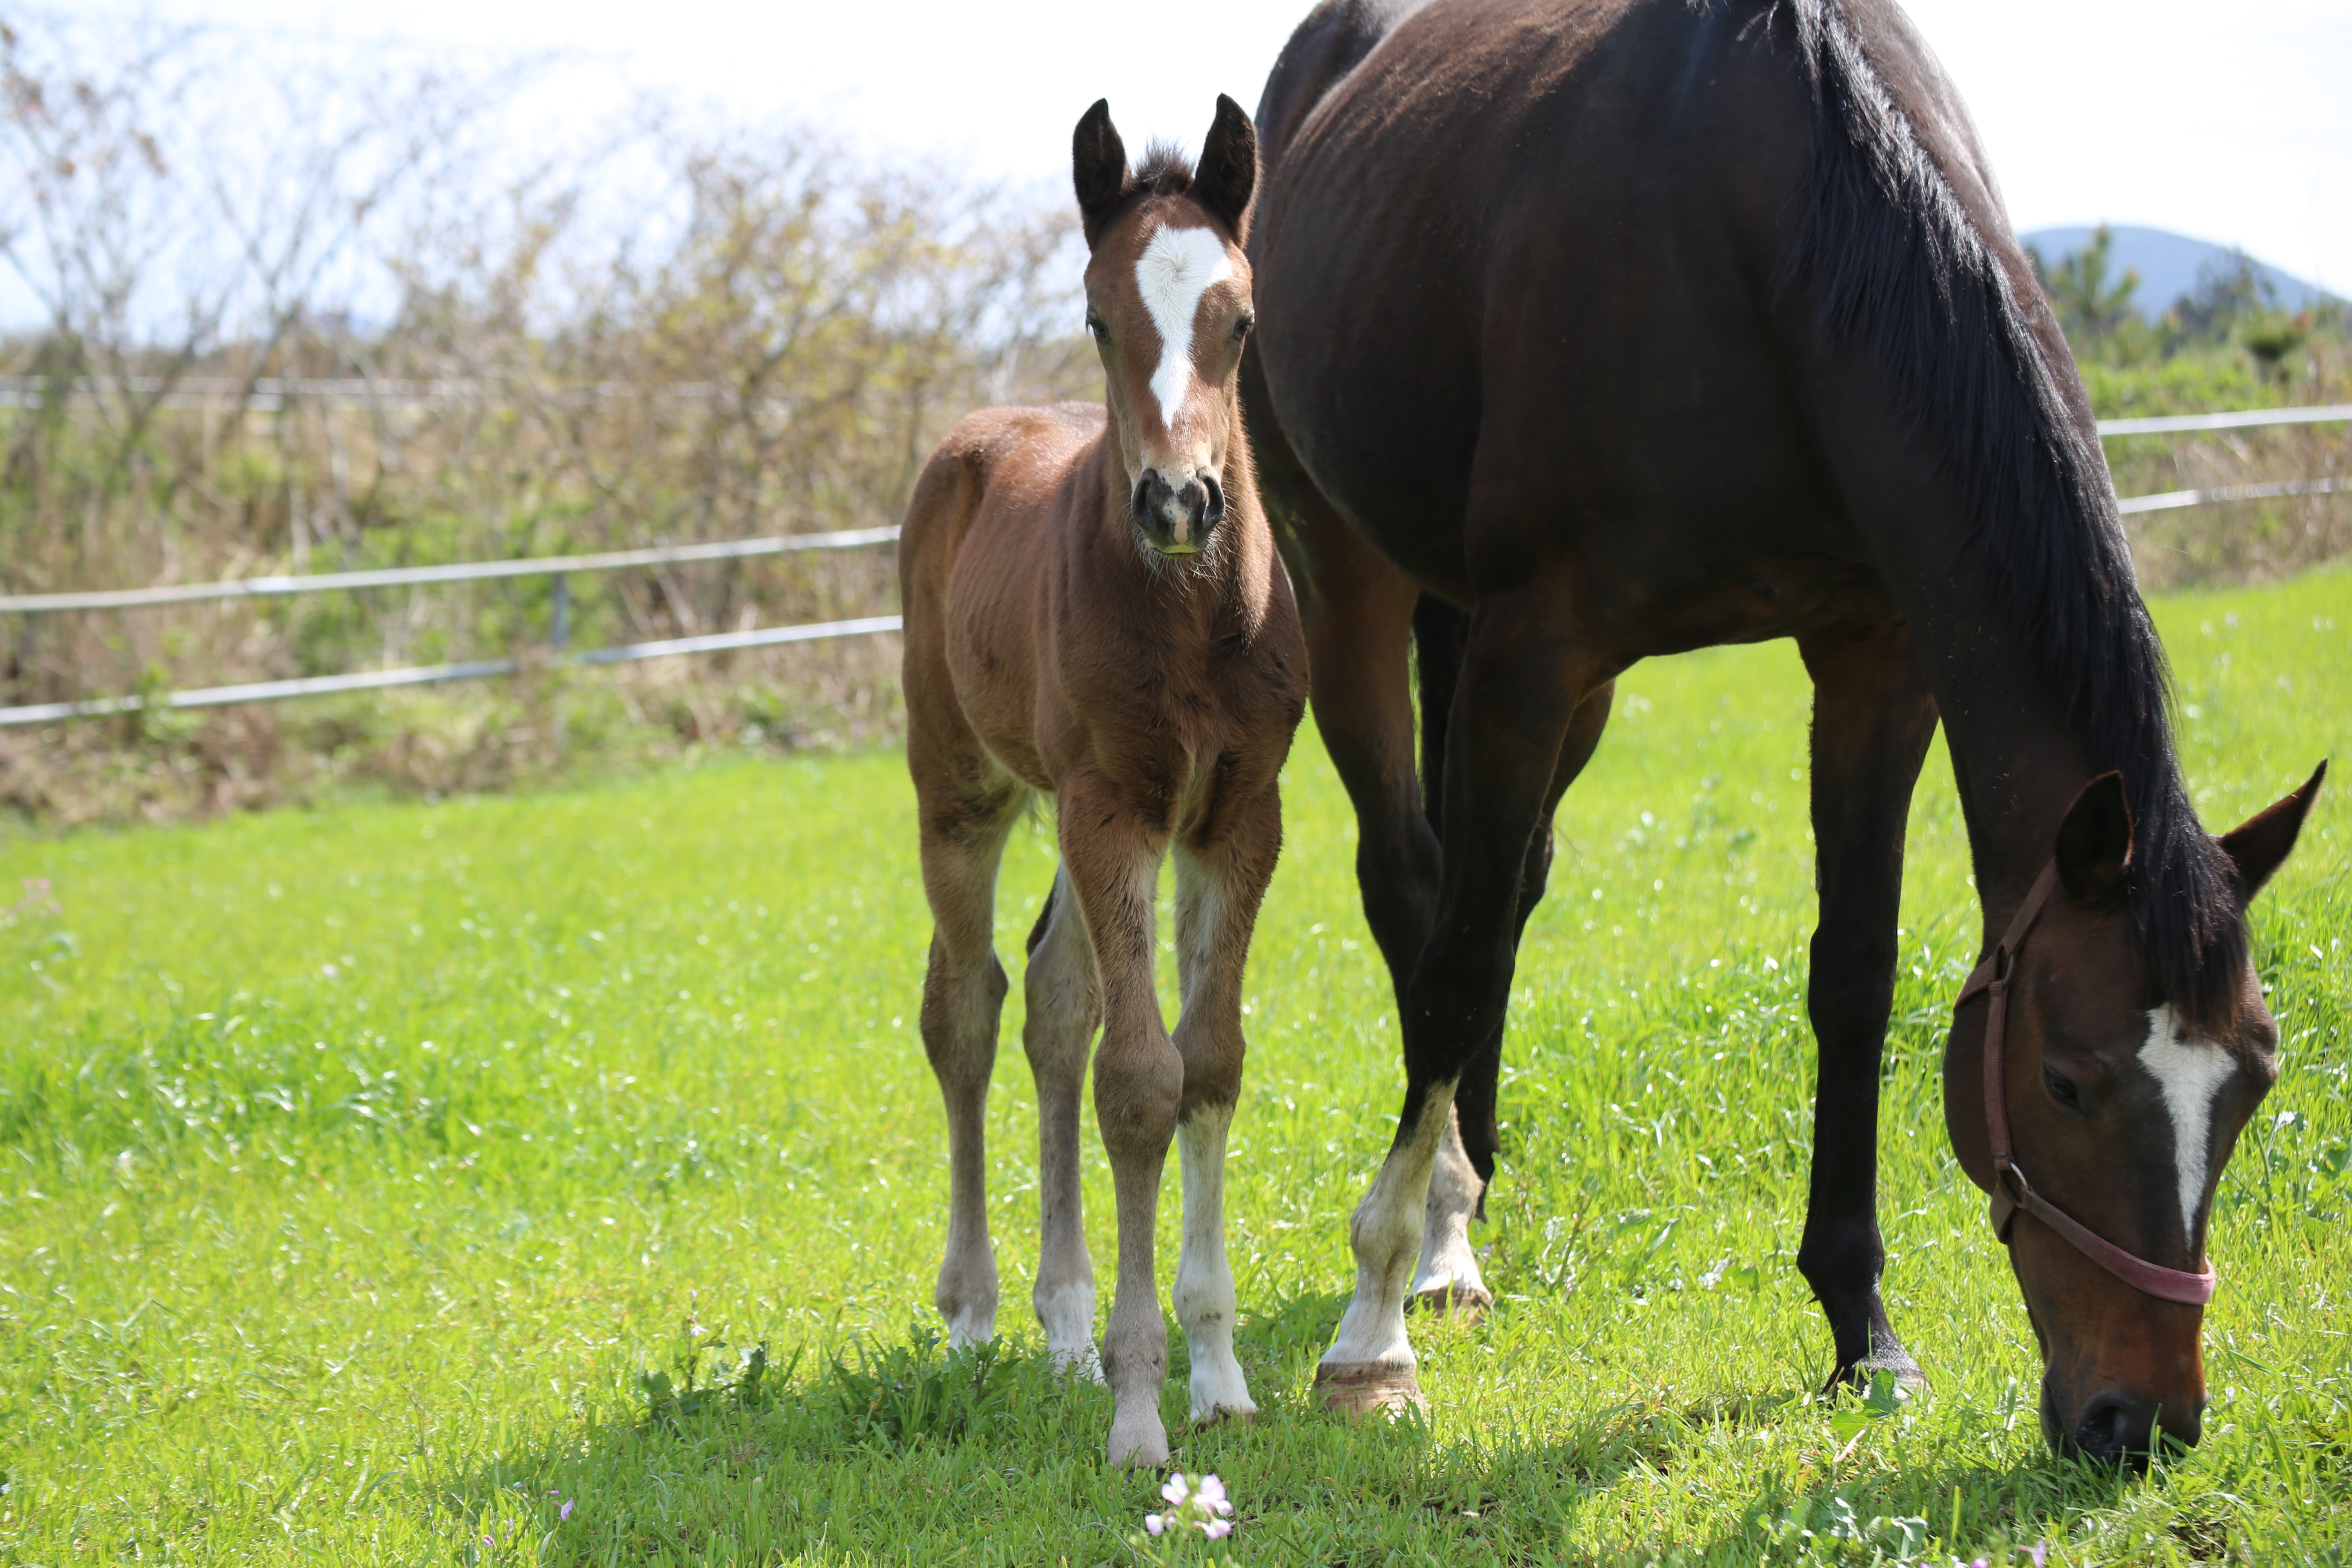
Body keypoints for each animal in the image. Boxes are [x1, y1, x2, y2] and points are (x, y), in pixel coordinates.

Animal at [898, 95, 1317, 1476]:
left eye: (1241, 322)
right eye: (1096, 316)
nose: (1179, 503)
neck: (1188, 621)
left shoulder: (1234, 815)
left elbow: (1209, 1063)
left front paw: (1218, 1375)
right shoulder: (1111, 809)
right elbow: (1140, 1083)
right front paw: (1142, 1414)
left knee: (1053, 1004)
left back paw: (1066, 1333)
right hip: (966, 794)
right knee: (968, 1008)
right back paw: (977, 1319)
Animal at [1242, 0, 2323, 1476]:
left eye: (2255, 1080)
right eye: (2067, 1081)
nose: (2141, 1423)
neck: (1772, 223)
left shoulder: (1875, 655)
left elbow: (1852, 977)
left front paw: (1863, 1328)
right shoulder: (1536, 643)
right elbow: (1455, 970)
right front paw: (1373, 1333)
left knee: (1504, 888)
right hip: (1350, 574)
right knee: (1419, 890)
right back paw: (1440, 1242)